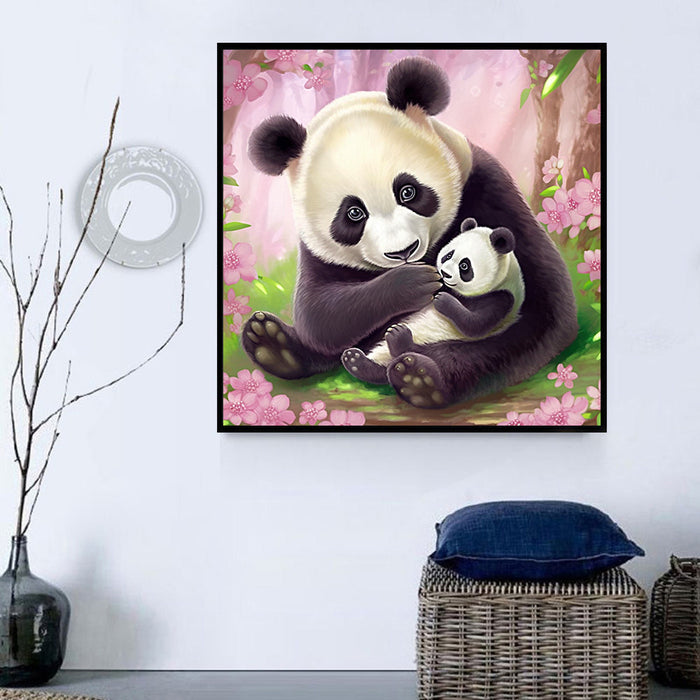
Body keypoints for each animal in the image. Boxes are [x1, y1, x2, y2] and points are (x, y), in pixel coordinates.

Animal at [341, 218, 525, 385]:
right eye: (448, 255)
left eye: (464, 266)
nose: (445, 273)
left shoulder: (501, 298)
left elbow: (475, 325)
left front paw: (443, 301)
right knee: (383, 369)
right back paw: (356, 361)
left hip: (445, 342)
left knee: (430, 354)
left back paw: (398, 340)